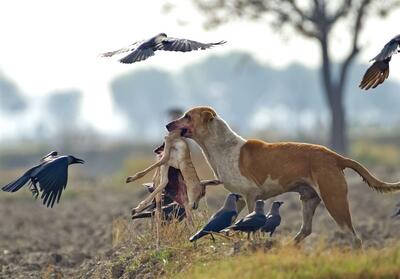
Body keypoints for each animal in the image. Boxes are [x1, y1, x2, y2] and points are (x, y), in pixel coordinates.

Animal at [166, 106, 400, 247]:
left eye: (187, 116)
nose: (168, 125)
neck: (222, 146)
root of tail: (336, 157)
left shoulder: (251, 195)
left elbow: (252, 221)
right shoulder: (238, 197)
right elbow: (233, 220)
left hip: (334, 201)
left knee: (354, 237)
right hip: (309, 200)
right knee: (306, 230)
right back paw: (290, 245)